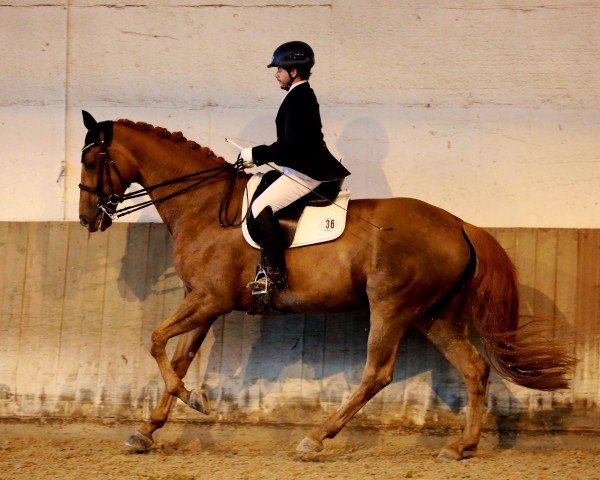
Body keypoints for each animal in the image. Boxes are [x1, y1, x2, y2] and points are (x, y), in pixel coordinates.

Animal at [77, 112, 576, 462]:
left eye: (90, 160)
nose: (87, 219)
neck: (202, 206)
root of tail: (458, 223)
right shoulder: (203, 302)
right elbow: (177, 358)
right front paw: (148, 430)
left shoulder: (208, 300)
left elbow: (156, 340)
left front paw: (194, 400)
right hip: (437, 314)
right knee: (474, 369)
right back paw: (461, 447)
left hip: (392, 306)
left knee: (378, 373)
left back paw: (316, 439)